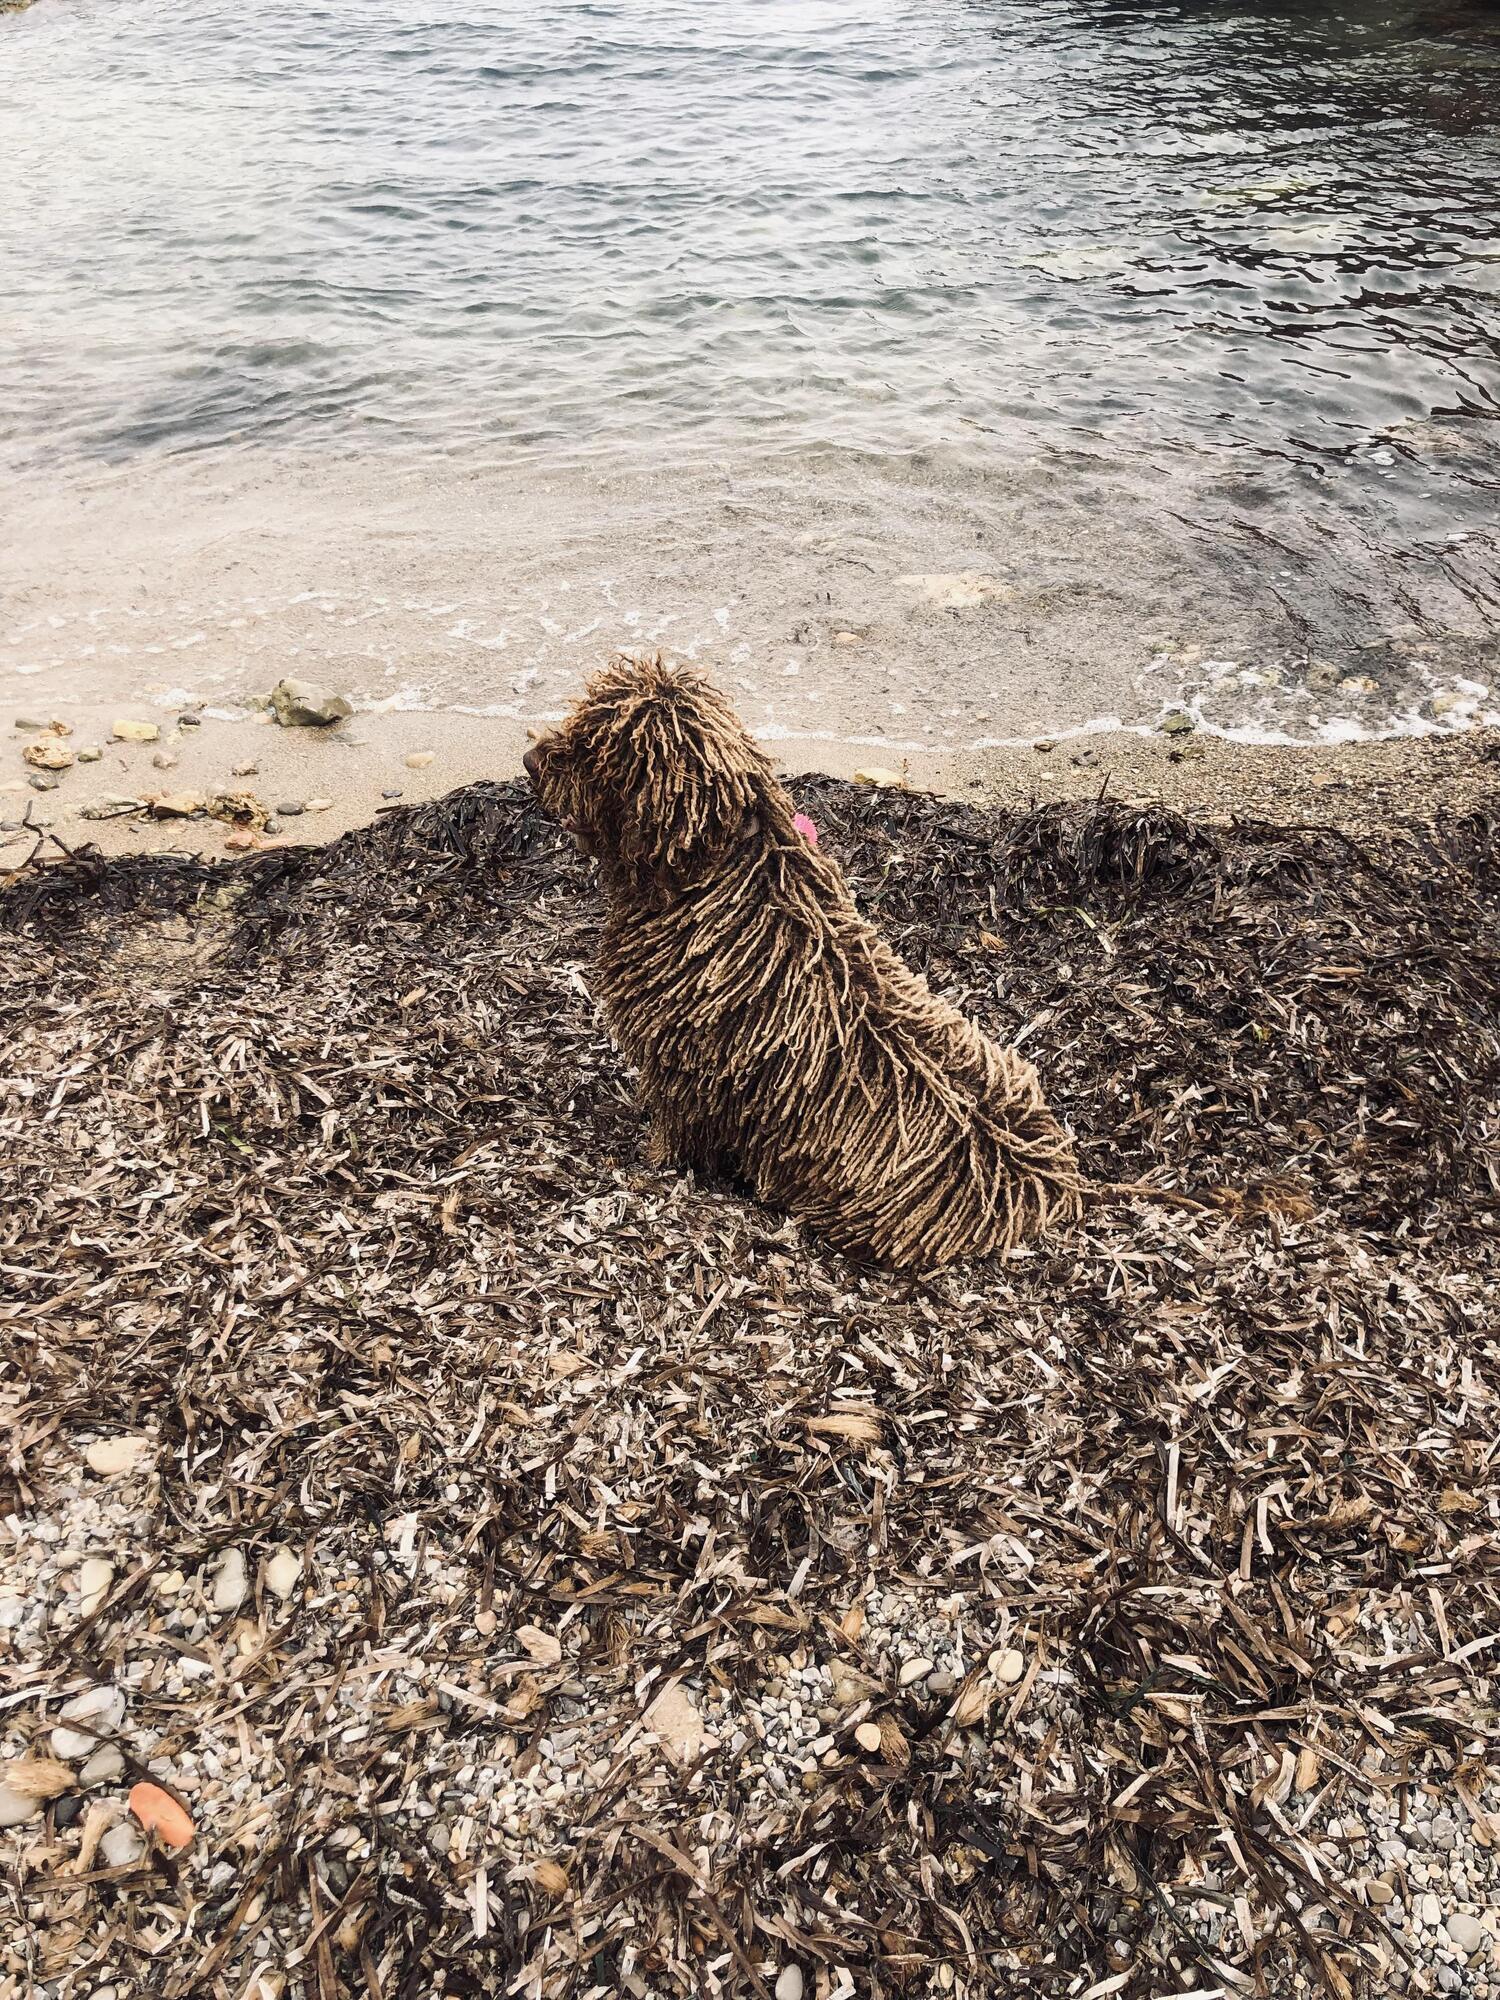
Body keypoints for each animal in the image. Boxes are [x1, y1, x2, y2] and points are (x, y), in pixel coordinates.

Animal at [528, 656, 1096, 1280]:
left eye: (594, 745)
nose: (530, 760)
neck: (717, 864)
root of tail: (1037, 1184)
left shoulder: (687, 1071)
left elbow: (676, 1134)